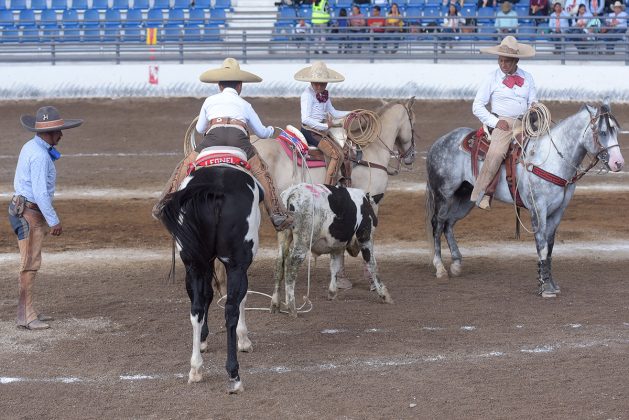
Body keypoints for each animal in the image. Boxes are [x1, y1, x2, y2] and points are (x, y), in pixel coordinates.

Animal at [162, 148, 262, 394]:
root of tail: (215, 190)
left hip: (193, 263)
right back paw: (234, 375)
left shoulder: (202, 262)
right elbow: (240, 301)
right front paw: (244, 340)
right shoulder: (238, 265)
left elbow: (205, 297)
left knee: (196, 308)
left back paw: (196, 369)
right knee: (231, 309)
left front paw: (203, 341)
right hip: (237, 264)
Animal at [424, 103, 620, 296]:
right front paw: (545, 287)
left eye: (616, 131)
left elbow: (550, 246)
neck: (550, 159)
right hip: (444, 195)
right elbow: (541, 245)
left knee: (449, 225)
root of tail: (438, 142)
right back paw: (440, 268)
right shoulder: (538, 209)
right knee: (438, 224)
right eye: (602, 132)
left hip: (465, 198)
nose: (618, 163)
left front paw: (551, 283)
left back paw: (456, 264)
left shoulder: (558, 211)